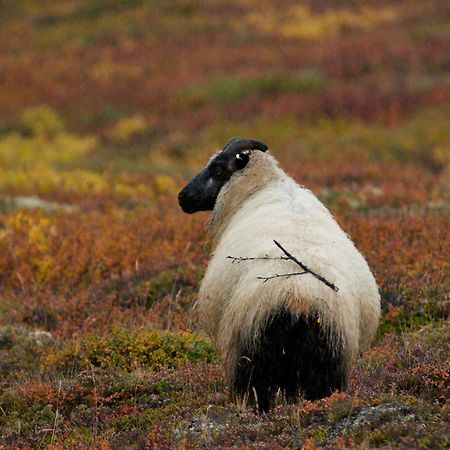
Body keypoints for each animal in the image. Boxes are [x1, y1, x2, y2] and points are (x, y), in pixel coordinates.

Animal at [178, 137, 382, 412]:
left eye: (218, 167)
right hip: (327, 361)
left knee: (257, 395)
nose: (183, 197)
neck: (262, 185)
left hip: (253, 354)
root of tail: (299, 297)